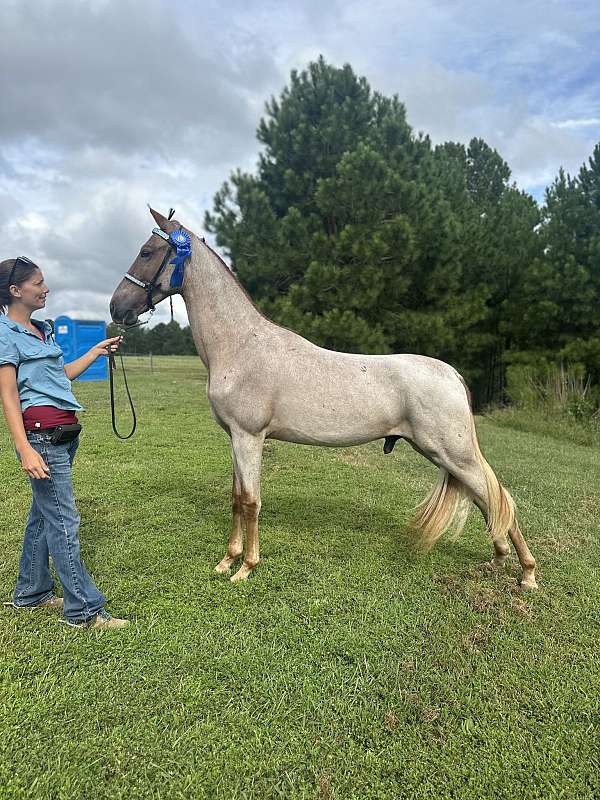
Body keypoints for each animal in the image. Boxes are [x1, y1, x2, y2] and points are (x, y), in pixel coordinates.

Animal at [109, 209, 540, 592]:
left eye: (147, 252)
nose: (117, 307)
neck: (241, 346)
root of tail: (452, 374)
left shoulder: (249, 437)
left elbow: (251, 501)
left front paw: (246, 568)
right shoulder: (234, 438)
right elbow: (235, 498)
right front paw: (226, 560)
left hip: (453, 452)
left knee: (499, 497)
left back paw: (527, 574)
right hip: (446, 455)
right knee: (488, 499)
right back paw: (498, 559)